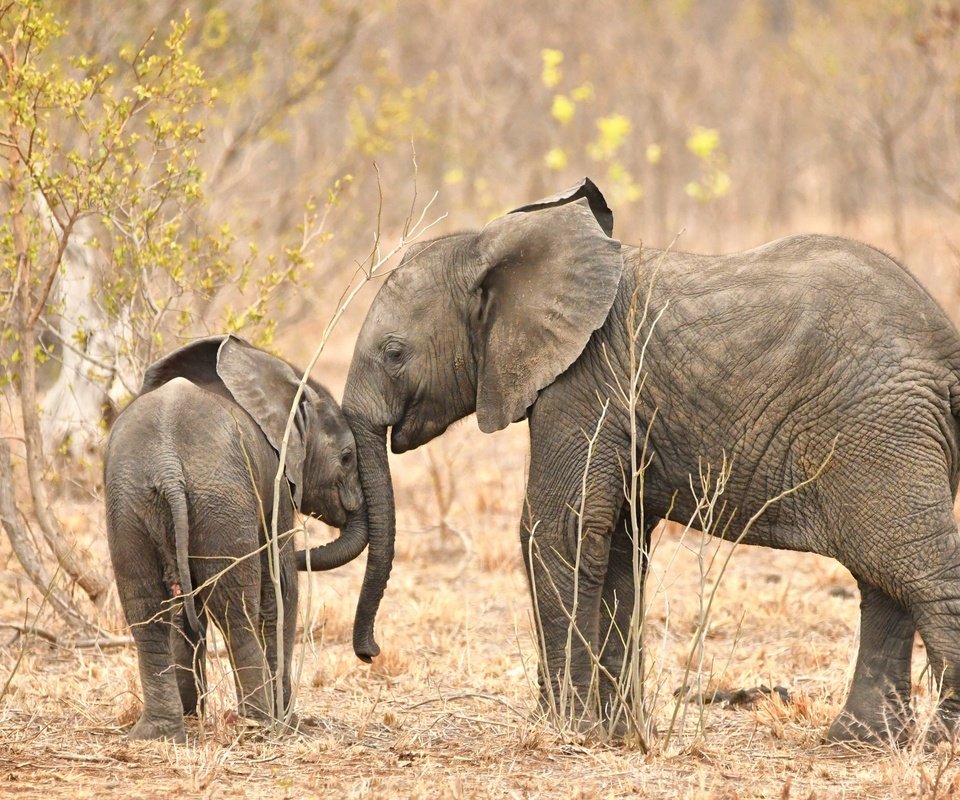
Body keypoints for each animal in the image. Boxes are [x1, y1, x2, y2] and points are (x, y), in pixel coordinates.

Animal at [105, 334, 368, 740]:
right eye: (347, 457)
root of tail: (167, 466)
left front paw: (192, 713)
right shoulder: (275, 482)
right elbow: (281, 586)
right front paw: (290, 721)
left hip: (130, 504)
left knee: (146, 608)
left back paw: (159, 733)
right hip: (219, 501)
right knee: (235, 607)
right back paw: (260, 723)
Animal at [302, 180, 960, 744]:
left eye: (394, 353)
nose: (370, 652)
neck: (497, 250)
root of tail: (945, 346)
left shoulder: (582, 385)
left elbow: (558, 529)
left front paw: (567, 731)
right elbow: (616, 546)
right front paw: (616, 735)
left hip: (881, 428)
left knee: (914, 568)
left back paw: (936, 744)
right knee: (883, 579)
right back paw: (859, 743)